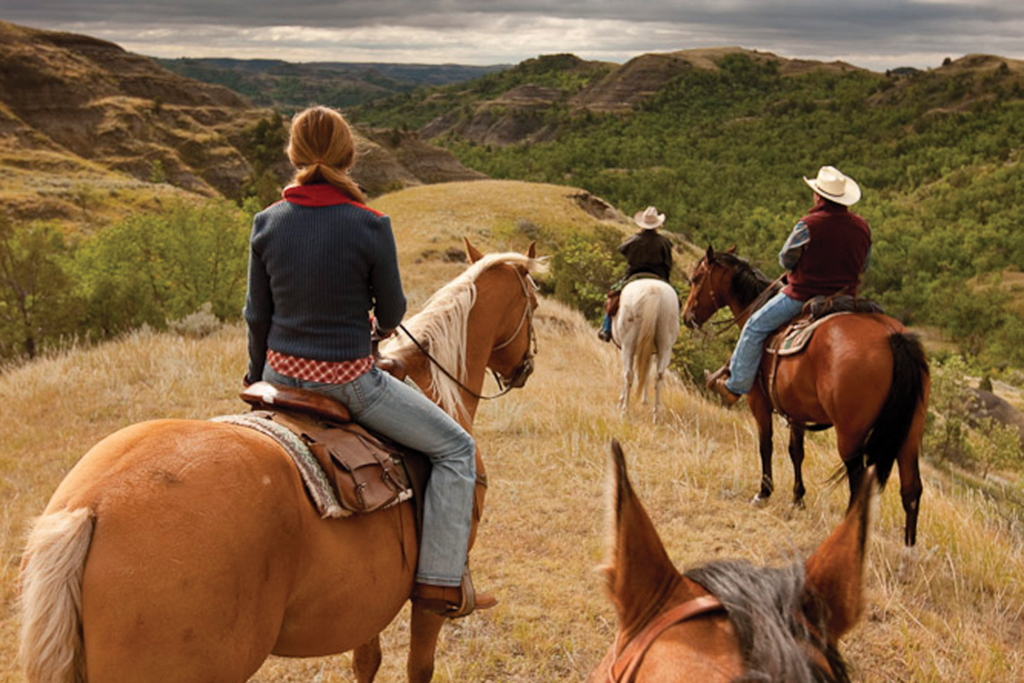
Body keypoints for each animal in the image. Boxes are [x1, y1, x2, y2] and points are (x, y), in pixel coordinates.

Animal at [16, 240, 544, 683]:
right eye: (535, 305)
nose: (525, 369)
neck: (434, 387)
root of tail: (90, 508)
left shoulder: (365, 600)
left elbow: (366, 660)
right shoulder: (429, 599)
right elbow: (419, 667)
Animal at [610, 278, 684, 419]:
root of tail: (654, 290)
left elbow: (626, 373)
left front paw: (621, 401)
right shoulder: (650, 353)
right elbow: (647, 375)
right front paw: (644, 401)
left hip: (628, 345)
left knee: (628, 374)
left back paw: (625, 410)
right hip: (665, 347)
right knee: (658, 377)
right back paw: (656, 415)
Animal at [679, 248, 929, 548]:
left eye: (696, 278)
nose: (686, 316)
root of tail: (892, 337)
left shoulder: (759, 404)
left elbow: (766, 445)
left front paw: (764, 492)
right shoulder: (796, 412)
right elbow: (796, 451)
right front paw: (798, 498)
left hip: (850, 434)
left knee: (858, 483)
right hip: (909, 434)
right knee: (911, 489)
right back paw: (908, 551)